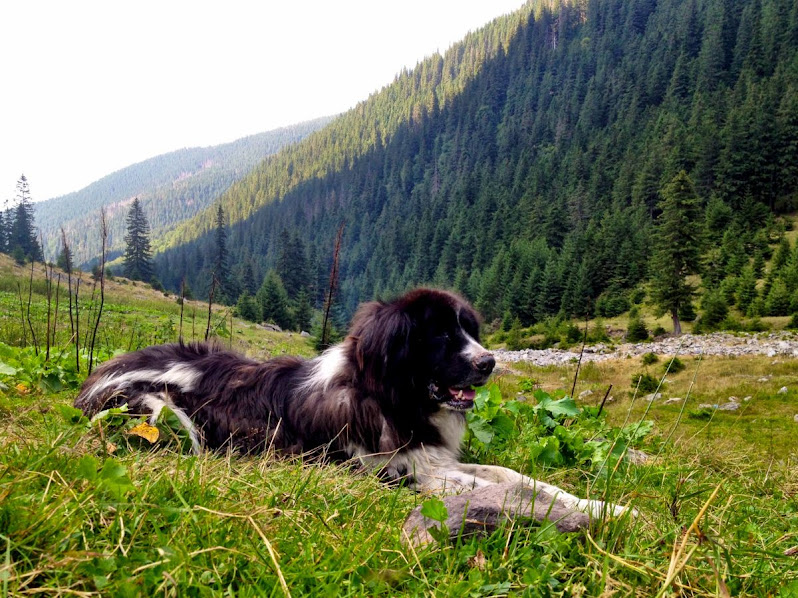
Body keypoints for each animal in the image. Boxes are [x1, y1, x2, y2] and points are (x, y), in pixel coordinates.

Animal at [75, 290, 632, 520]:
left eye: (469, 330)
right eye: (439, 335)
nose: (489, 362)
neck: (388, 396)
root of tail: (99, 374)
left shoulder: (432, 459)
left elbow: (518, 479)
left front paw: (603, 505)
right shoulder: (399, 471)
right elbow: (508, 491)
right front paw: (608, 512)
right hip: (163, 414)